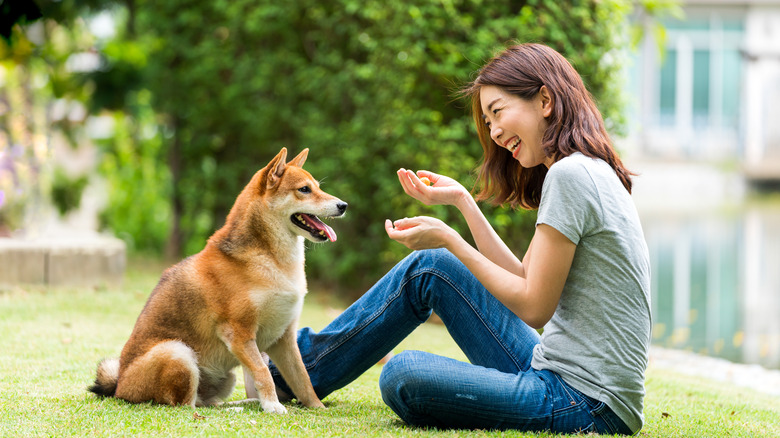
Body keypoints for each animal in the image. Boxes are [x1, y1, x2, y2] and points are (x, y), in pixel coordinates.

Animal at [88, 148, 348, 414]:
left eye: (317, 187)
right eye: (304, 189)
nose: (343, 205)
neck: (270, 259)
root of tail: (120, 387)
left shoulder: (283, 338)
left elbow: (303, 380)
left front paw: (318, 408)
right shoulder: (239, 334)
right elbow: (263, 373)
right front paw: (273, 406)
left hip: (224, 376)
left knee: (206, 402)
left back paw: (243, 403)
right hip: (178, 352)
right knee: (186, 406)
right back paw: (236, 409)